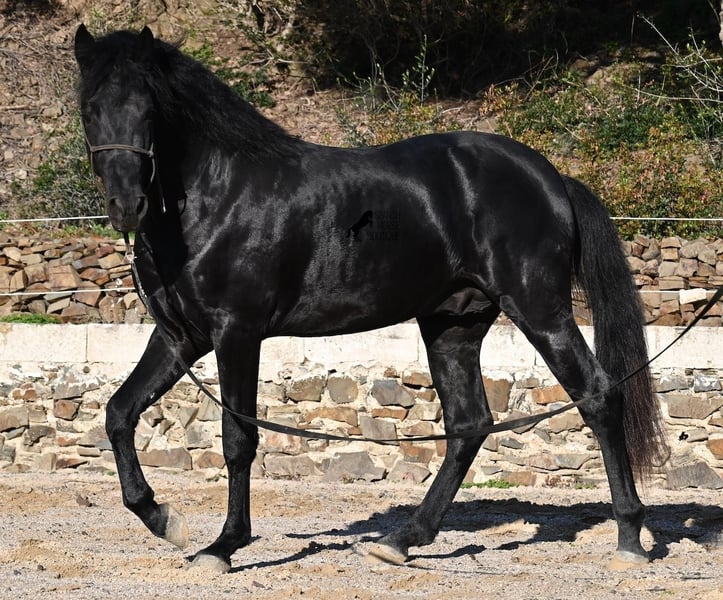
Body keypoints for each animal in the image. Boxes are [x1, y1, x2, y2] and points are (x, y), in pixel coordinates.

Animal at [73, 24, 667, 574]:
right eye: (90, 108)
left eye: (149, 108)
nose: (126, 205)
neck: (219, 197)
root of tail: (552, 178)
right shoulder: (181, 336)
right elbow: (119, 412)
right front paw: (162, 519)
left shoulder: (235, 334)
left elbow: (237, 439)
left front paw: (223, 546)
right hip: (453, 325)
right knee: (469, 424)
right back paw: (401, 540)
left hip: (540, 311)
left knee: (597, 396)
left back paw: (629, 538)